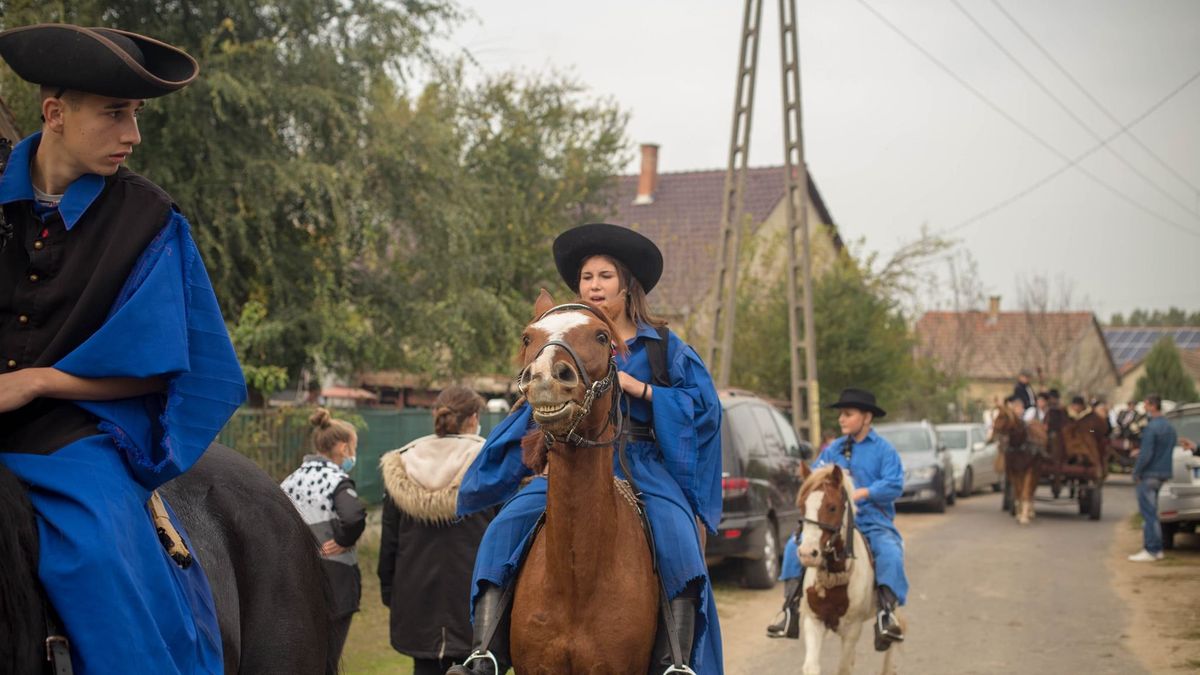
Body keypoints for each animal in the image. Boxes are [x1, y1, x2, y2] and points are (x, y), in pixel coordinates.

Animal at [792, 461, 897, 672]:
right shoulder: (813, 621)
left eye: (832, 507)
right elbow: (812, 666)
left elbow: (844, 668)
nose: (807, 553)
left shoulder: (852, 629)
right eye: (802, 506)